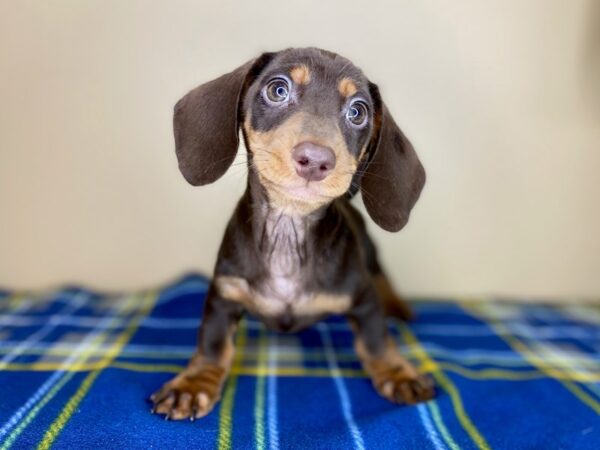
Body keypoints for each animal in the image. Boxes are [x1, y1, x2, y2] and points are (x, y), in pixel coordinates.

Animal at [150, 47, 432, 420]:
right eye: (278, 90)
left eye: (358, 111)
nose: (315, 160)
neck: (288, 225)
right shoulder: (223, 295)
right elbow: (213, 343)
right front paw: (193, 384)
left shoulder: (363, 298)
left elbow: (375, 340)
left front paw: (398, 372)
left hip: (370, 255)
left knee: (383, 277)